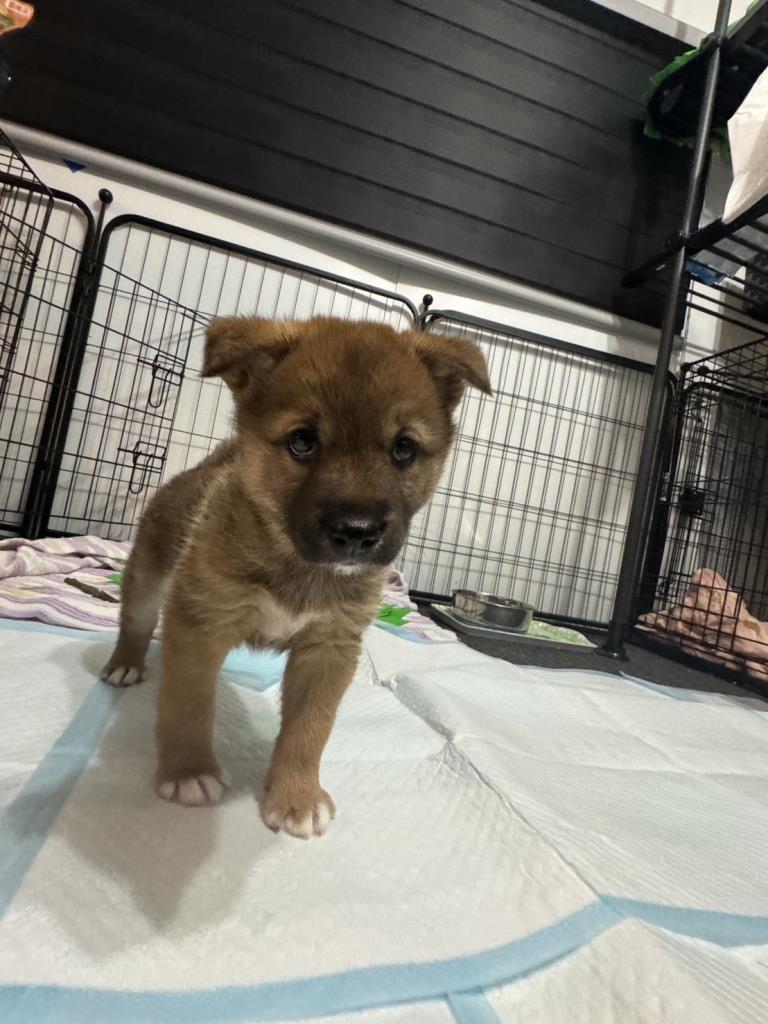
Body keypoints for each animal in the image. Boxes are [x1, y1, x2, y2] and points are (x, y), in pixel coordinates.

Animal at [101, 316, 490, 839]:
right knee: (137, 622)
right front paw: (188, 772)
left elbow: (309, 730)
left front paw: (296, 797)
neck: (298, 565)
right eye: (302, 441)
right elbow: (188, 706)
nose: (357, 531)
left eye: (403, 448)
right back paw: (124, 664)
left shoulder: (328, 647)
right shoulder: (202, 623)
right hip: (148, 576)